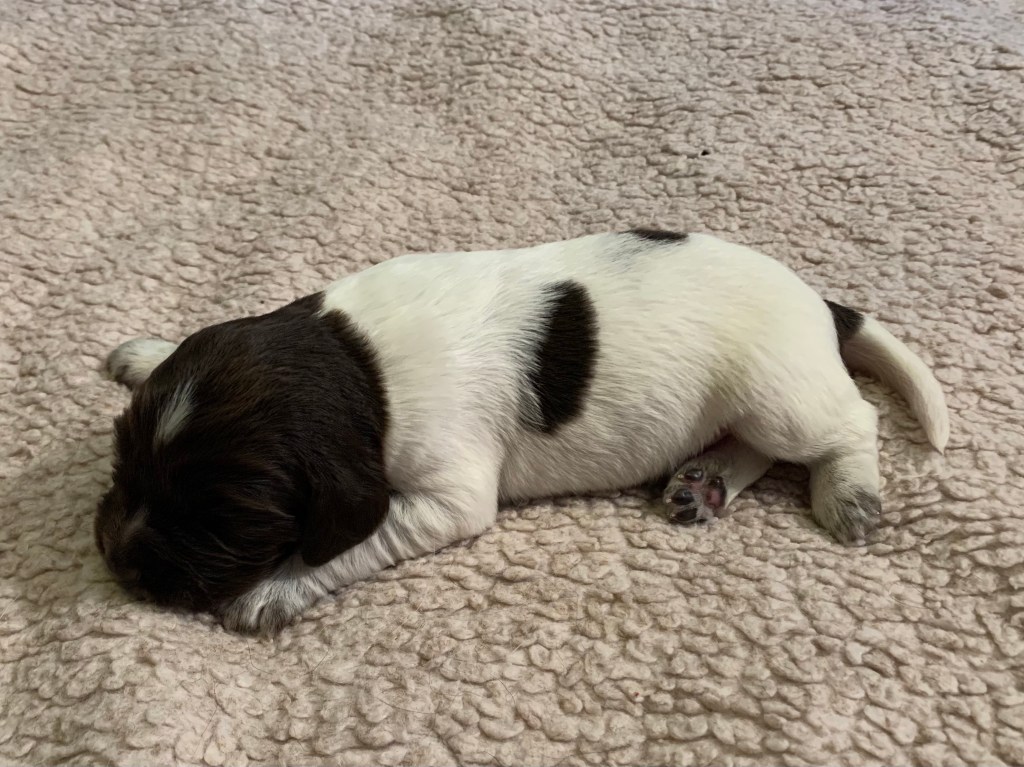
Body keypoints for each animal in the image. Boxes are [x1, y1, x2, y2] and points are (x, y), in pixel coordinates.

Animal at [95, 230, 949, 635]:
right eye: (123, 466)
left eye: (225, 520)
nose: (115, 560)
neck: (355, 364)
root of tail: (819, 302)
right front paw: (150, 353)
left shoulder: (447, 497)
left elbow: (339, 544)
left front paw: (273, 587)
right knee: (756, 446)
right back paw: (703, 482)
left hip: (778, 392)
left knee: (849, 420)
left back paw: (850, 492)